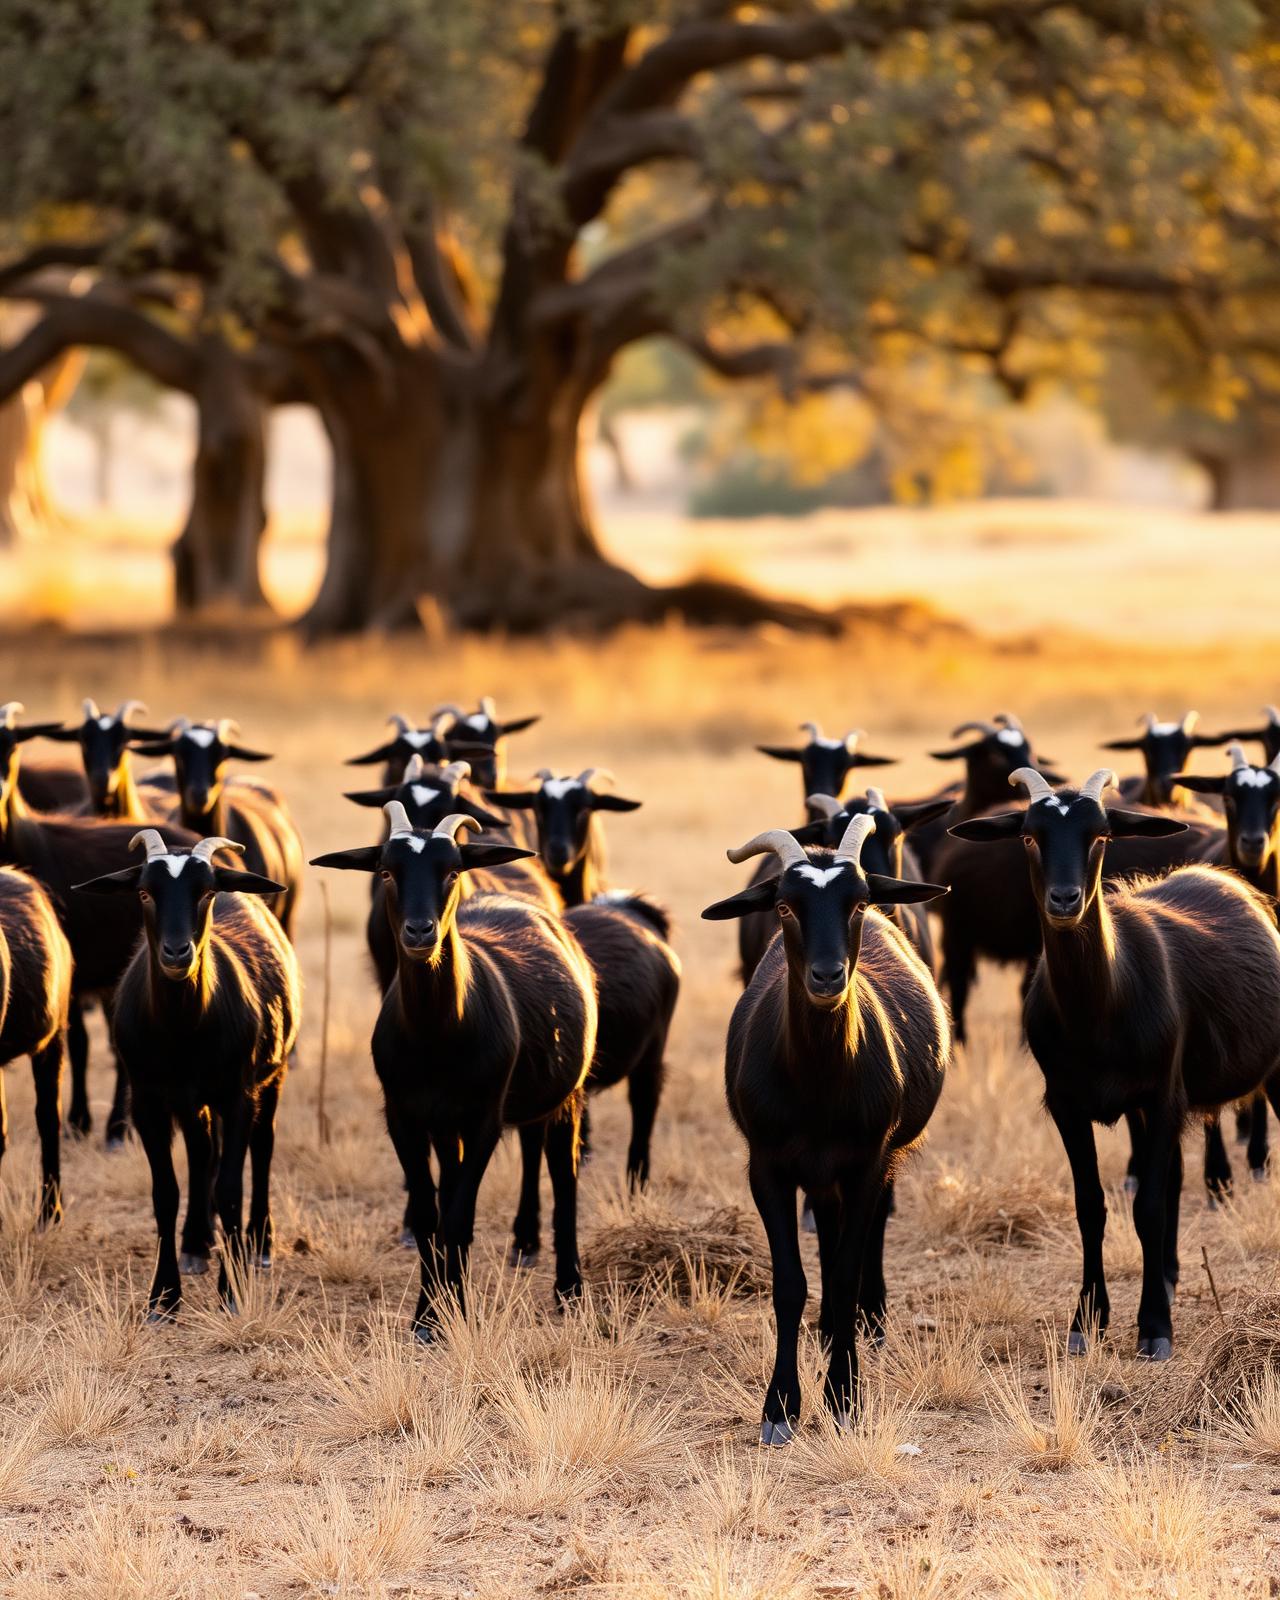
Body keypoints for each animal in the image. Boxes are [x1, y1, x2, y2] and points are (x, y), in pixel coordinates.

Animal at [75, 832, 297, 1317]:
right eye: (144, 892)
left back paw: (259, 1243)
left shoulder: (237, 1094)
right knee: (201, 1152)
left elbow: (230, 1187)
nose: (178, 953)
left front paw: (232, 1292)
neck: (182, 1031)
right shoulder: (148, 1102)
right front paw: (163, 1296)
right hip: (192, 1100)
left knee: (263, 1147)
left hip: (271, 1076)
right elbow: (166, 1192)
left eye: (206, 892)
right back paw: (196, 1242)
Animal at [312, 806, 595, 1337]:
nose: (420, 932)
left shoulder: (484, 1118)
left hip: (568, 1094)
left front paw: (454, 1310)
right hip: (455, 1122)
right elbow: (430, 1215)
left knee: (564, 1176)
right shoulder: (403, 1117)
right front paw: (428, 1316)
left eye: (453, 871)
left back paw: (568, 1289)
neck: (435, 1037)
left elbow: (460, 1216)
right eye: (386, 871)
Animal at [703, 814, 949, 1442]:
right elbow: (791, 1283)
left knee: (868, 1233)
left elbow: (843, 1275)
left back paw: (868, 1321)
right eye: (784, 906)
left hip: (877, 1160)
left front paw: (844, 1397)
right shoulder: (766, 1167)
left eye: (857, 901)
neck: (816, 1084)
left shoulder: (867, 1162)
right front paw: (780, 1408)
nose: (827, 975)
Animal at [951, 767, 1280, 1361]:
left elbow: (1147, 1206)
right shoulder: (1067, 1103)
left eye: (1101, 836)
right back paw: (1167, 1276)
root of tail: (1221, 877)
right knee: (1171, 1179)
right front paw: (1087, 1319)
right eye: (1029, 836)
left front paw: (1154, 1328)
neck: (1101, 1002)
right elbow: (1092, 1206)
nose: (1064, 899)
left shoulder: (1163, 1095)